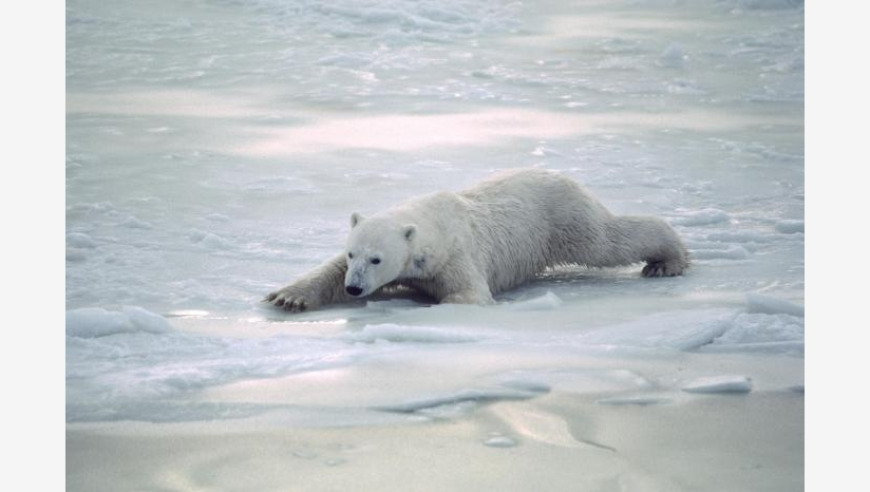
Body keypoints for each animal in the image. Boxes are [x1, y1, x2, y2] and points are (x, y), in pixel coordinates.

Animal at [266, 170, 688, 312]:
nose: (354, 289)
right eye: (353, 252)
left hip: (564, 219)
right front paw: (287, 297)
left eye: (377, 259)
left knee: (609, 240)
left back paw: (668, 260)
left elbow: (470, 293)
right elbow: (327, 272)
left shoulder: (456, 255)